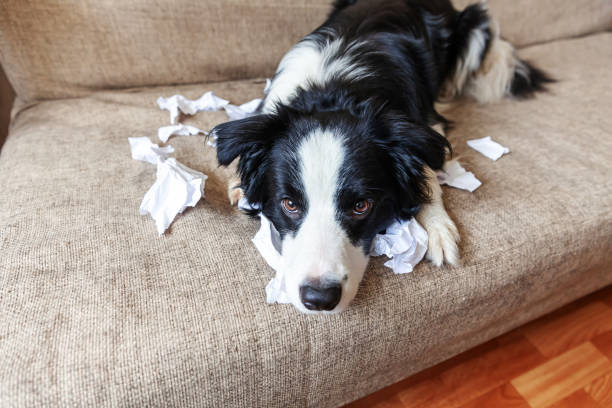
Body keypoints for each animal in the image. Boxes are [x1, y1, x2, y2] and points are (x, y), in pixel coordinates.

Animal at [210, 0, 548, 314]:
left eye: (362, 206)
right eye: (289, 204)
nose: (319, 299)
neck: (335, 91)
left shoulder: (424, 123)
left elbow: (427, 170)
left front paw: (437, 229)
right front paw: (238, 180)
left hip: (475, 24)